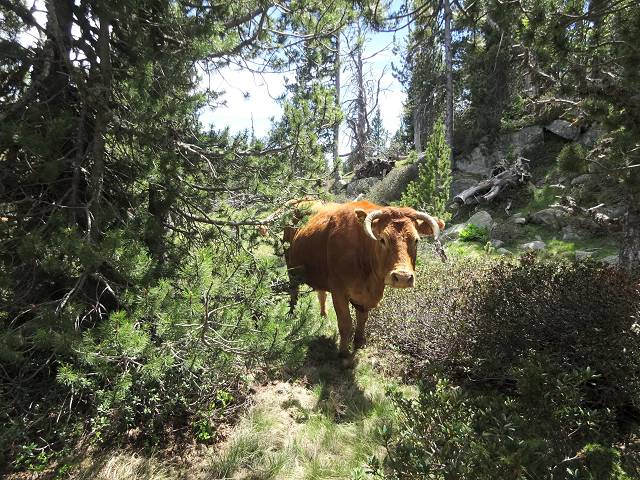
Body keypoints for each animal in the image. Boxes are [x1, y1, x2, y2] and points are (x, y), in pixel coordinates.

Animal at [285, 200, 445, 357]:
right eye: (382, 239)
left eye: (416, 240)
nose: (402, 277)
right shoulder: (338, 291)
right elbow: (346, 324)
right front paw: (343, 353)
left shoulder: (366, 297)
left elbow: (362, 320)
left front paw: (359, 342)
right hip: (290, 267)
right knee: (293, 291)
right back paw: (291, 314)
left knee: (321, 294)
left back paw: (323, 316)